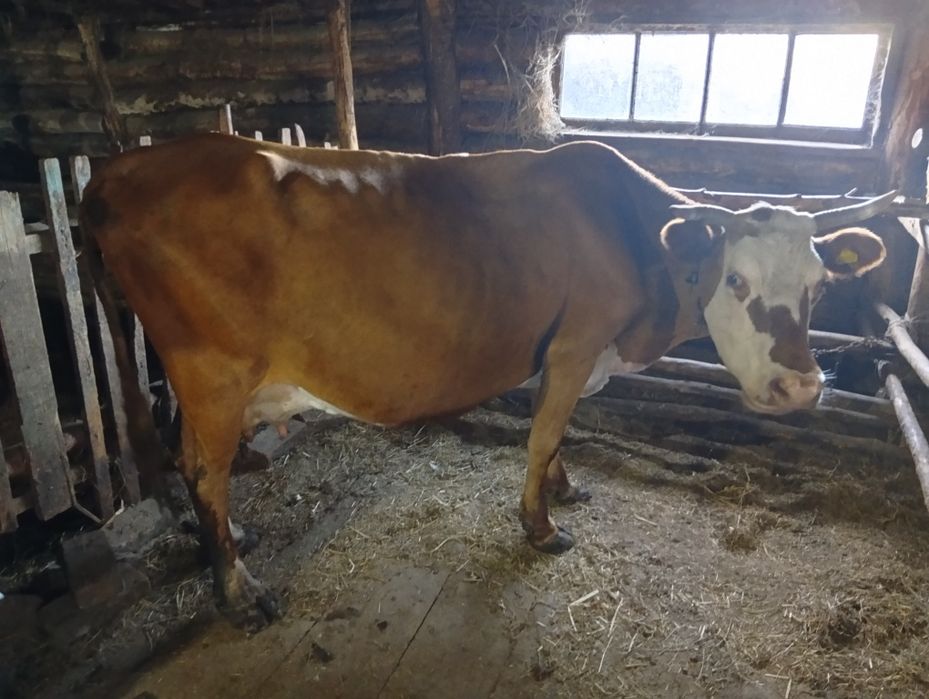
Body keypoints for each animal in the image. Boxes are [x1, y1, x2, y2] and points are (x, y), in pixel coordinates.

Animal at [79, 133, 891, 628]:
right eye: (736, 280)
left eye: (820, 285)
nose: (800, 388)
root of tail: (122, 167)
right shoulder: (573, 345)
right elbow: (542, 435)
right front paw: (541, 526)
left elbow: (563, 435)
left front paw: (566, 488)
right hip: (211, 369)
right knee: (203, 469)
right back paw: (239, 588)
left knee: (192, 462)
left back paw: (227, 542)